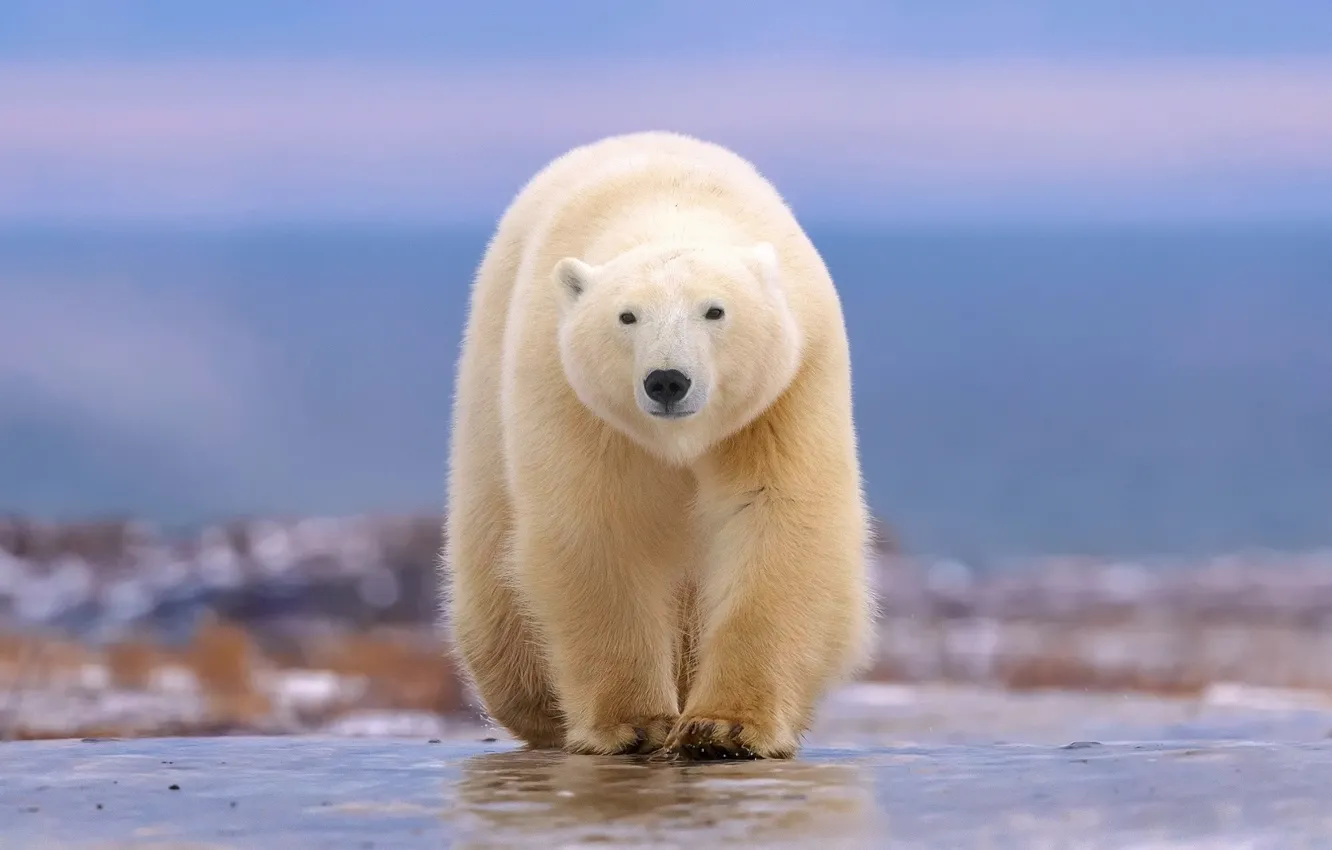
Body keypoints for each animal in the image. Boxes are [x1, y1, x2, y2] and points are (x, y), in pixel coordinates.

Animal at [441, 130, 874, 760]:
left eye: (715, 310)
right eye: (627, 316)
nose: (667, 380)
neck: (668, 206)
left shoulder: (787, 389)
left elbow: (775, 514)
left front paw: (724, 727)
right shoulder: (570, 391)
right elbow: (599, 524)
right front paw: (634, 723)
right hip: (485, 408)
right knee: (495, 579)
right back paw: (537, 707)